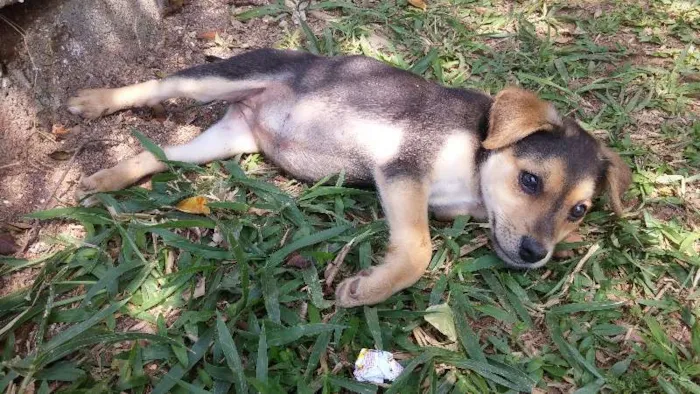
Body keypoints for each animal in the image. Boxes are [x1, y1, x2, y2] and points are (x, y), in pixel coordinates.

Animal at [67, 48, 636, 308]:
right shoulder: (404, 168)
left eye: (579, 210)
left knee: (159, 155)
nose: (534, 254)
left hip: (222, 142)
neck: (478, 154)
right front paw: (369, 289)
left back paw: (107, 177)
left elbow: (421, 239)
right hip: (221, 77)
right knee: (158, 85)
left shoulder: (427, 196)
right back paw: (93, 101)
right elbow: (418, 250)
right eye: (531, 182)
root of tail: (249, 112)